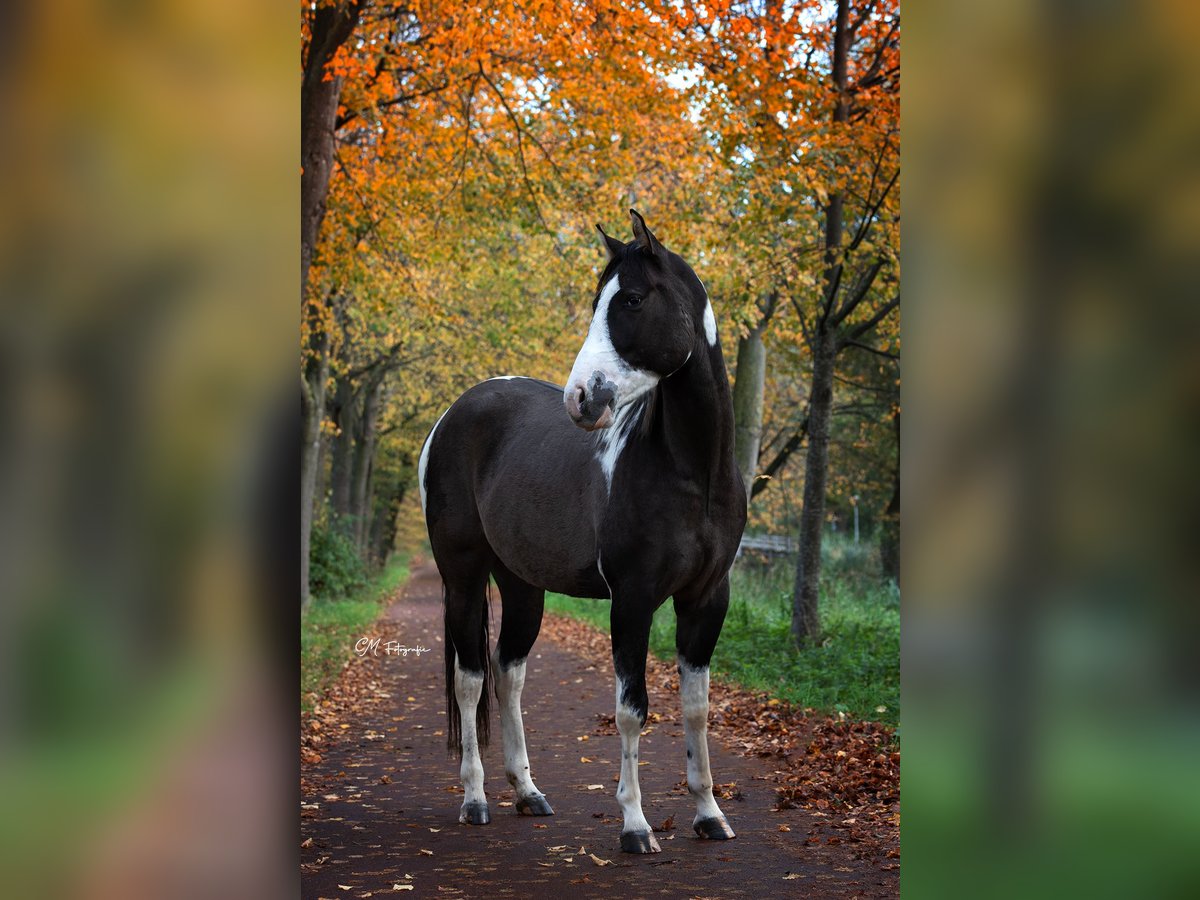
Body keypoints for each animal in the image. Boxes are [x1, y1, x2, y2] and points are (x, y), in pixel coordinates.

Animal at [418, 209, 747, 854]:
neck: (692, 471)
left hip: (522, 587)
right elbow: (632, 709)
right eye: (598, 301)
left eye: (634, 299)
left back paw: (527, 793)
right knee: (471, 680)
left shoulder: (707, 599)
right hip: (463, 579)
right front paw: (636, 827)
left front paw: (709, 814)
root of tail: (453, 414)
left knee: (508, 674)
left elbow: (696, 710)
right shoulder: (633, 599)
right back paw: (475, 800)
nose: (581, 399)